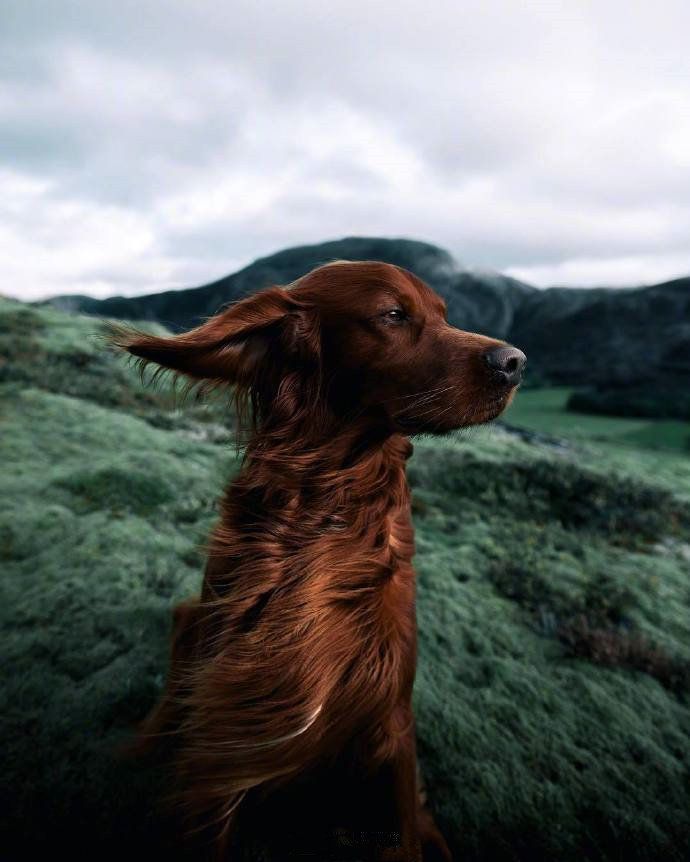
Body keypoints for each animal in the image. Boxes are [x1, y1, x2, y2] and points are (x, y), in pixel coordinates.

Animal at [110, 260, 524, 860]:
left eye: (446, 314)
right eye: (393, 314)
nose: (515, 363)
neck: (328, 502)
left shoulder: (387, 721)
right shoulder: (229, 725)